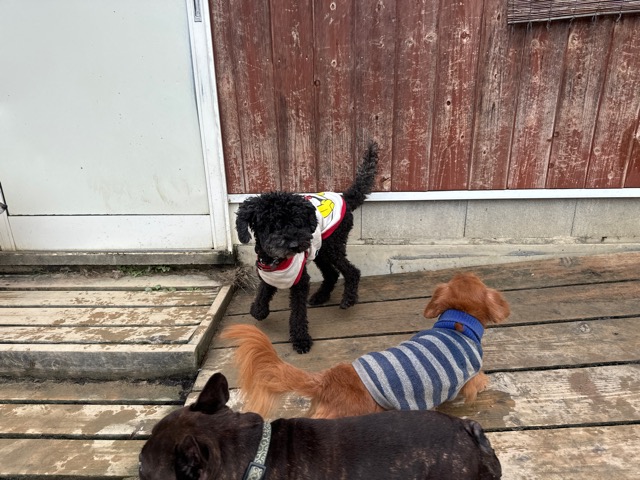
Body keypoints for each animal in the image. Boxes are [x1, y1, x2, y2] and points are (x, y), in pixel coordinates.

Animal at [235, 142, 379, 354]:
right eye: (271, 225)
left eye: (297, 222)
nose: (295, 244)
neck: (276, 260)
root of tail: (344, 197)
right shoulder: (268, 276)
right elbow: (262, 296)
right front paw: (258, 310)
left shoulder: (300, 282)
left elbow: (297, 313)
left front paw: (301, 339)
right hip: (319, 250)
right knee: (332, 274)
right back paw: (320, 297)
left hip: (332, 246)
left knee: (352, 271)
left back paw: (348, 299)